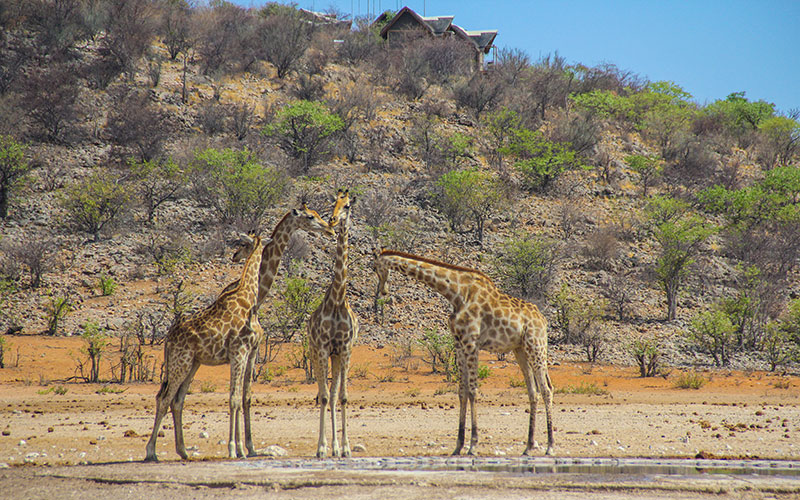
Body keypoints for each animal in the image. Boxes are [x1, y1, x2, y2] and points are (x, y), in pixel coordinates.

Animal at [145, 232, 266, 462]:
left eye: (243, 244)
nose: (235, 255)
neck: (248, 298)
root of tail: (168, 338)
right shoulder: (239, 352)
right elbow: (234, 399)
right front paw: (233, 449)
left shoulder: (249, 353)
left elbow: (242, 397)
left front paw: (243, 449)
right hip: (180, 363)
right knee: (164, 399)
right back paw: (151, 452)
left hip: (192, 363)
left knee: (177, 400)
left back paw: (183, 451)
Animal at [372, 250, 552, 458]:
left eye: (375, 268)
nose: (383, 292)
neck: (456, 294)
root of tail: (543, 320)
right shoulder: (458, 344)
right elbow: (461, 392)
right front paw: (458, 446)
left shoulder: (471, 342)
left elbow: (473, 391)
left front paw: (473, 445)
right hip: (520, 350)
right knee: (533, 392)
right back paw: (529, 447)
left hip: (536, 346)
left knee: (546, 389)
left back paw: (550, 446)